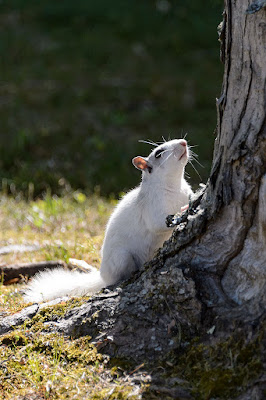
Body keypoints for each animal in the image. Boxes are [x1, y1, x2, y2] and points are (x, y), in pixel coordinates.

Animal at [24, 139, 191, 302]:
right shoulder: (152, 207)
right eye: (159, 153)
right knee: (117, 277)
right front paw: (184, 210)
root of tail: (102, 275)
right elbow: (158, 223)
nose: (183, 142)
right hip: (121, 258)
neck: (175, 184)